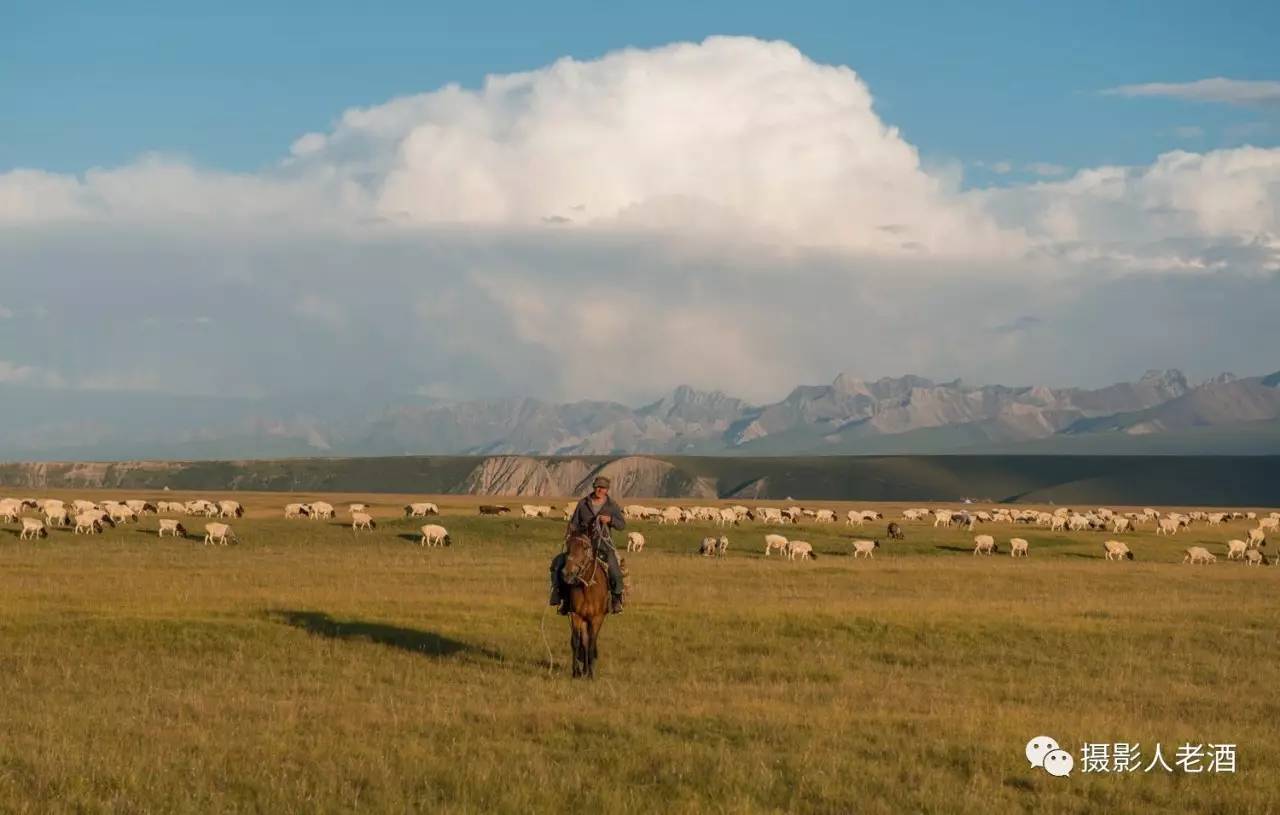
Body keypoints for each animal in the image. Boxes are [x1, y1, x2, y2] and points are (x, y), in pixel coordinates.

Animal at [560, 529, 609, 675]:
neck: (587, 588)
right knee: (584, 642)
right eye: (568, 547)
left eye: (585, 548)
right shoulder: (576, 616)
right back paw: (584, 670)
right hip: (583, 620)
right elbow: (577, 642)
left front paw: (591, 674)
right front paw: (576, 672)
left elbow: (592, 643)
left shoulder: (597, 618)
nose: (566, 573)